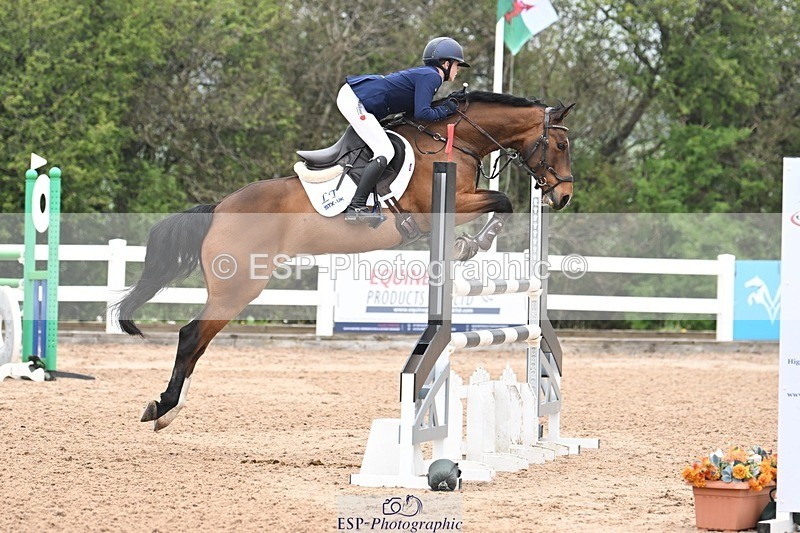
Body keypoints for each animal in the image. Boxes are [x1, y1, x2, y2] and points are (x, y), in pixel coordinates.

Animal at [115, 90, 576, 431]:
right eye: (561, 144)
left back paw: (168, 409)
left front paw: (469, 245)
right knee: (192, 335)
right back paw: (163, 407)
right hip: (238, 287)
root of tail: (219, 209)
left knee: (197, 341)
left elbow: (502, 201)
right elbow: (504, 200)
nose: (563, 196)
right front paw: (470, 245)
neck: (455, 138)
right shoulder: (444, 207)